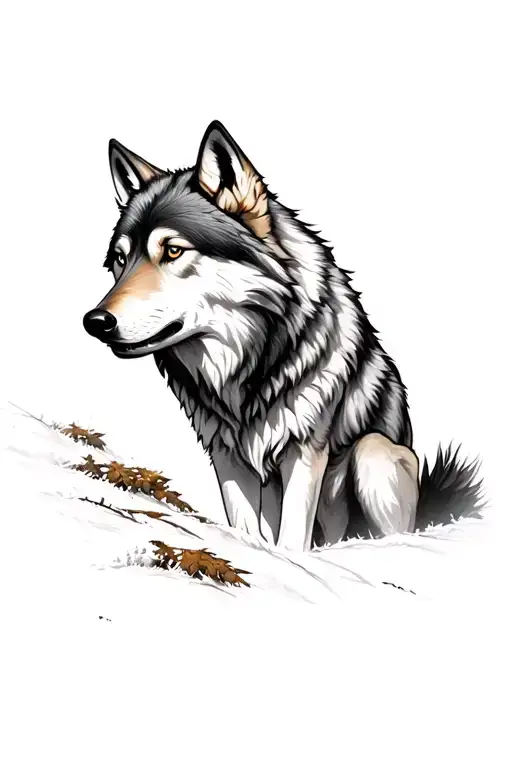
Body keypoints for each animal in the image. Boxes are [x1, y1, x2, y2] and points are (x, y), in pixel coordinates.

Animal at [83, 121, 483, 551]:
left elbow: (292, 537)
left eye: (173, 250)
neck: (246, 367)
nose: (95, 321)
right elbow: (245, 528)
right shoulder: (227, 457)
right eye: (121, 259)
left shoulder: (306, 451)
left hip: (372, 451)